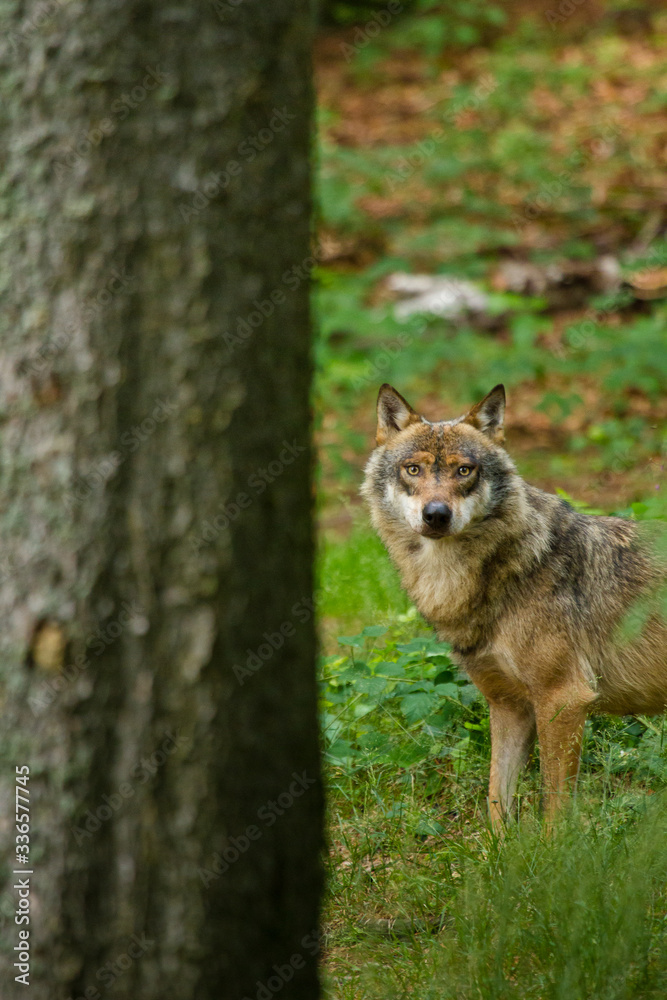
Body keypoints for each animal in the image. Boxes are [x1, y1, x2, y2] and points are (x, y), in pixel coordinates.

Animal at [366, 382, 667, 828]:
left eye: (464, 471)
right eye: (413, 470)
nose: (436, 514)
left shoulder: (563, 700)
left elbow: (554, 808)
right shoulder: (508, 706)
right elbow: (496, 799)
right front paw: (499, 847)